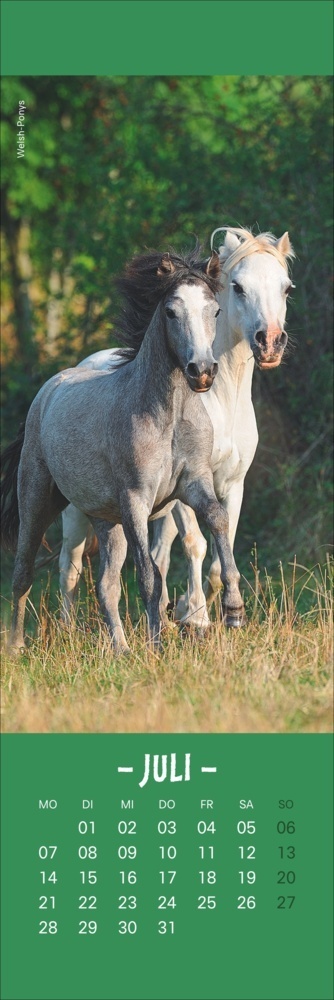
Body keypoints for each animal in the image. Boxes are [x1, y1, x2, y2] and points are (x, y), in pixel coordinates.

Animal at [58, 230, 294, 628]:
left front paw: (207, 609)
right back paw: (66, 631)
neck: (221, 401)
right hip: (76, 509)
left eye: (286, 288)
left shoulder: (232, 484)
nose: (270, 342)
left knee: (157, 552)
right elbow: (196, 543)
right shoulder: (189, 484)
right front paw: (196, 616)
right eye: (238, 287)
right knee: (69, 567)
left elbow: (221, 546)